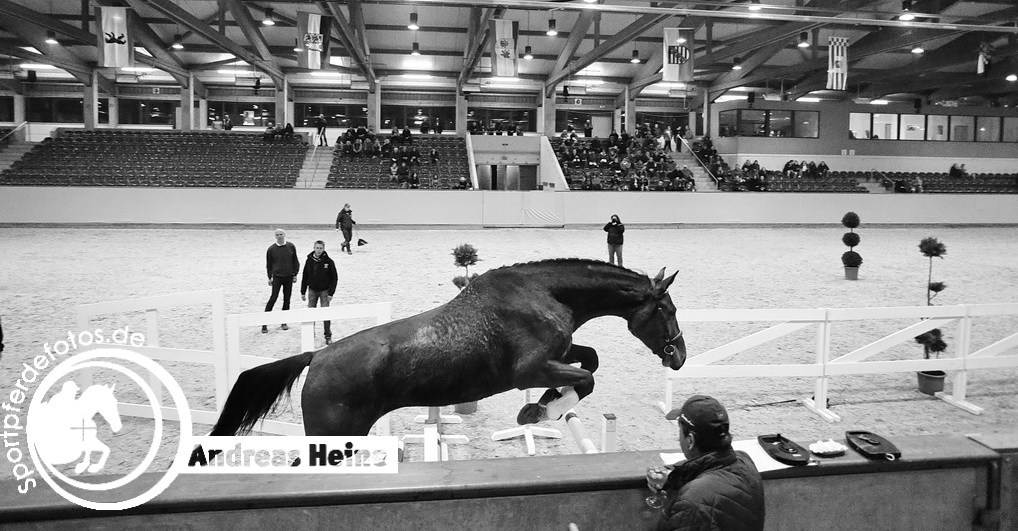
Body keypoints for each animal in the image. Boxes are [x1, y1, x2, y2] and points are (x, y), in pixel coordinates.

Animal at [212, 258, 692, 435]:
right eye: (666, 309)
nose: (680, 355)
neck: (544, 293)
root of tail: (317, 356)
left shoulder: (558, 354)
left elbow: (589, 360)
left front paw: (542, 406)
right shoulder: (531, 368)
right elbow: (587, 377)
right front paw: (540, 411)